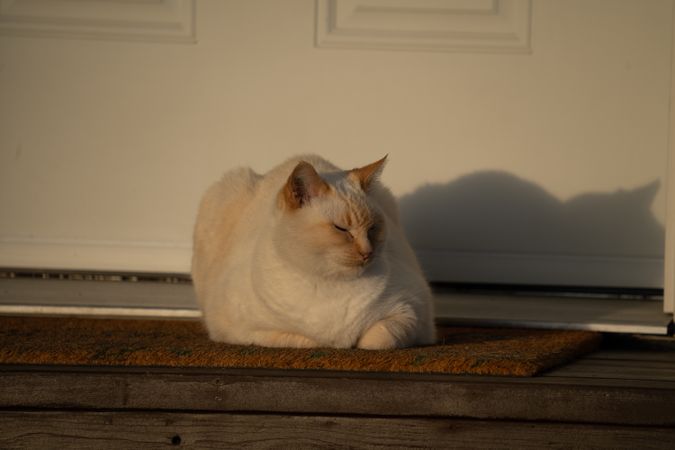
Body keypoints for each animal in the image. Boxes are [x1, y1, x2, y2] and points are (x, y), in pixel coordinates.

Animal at [191, 154, 434, 348]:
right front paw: (332, 343)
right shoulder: (242, 330)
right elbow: (308, 341)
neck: (330, 284)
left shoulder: (411, 312)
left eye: (372, 228)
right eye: (341, 229)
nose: (368, 252)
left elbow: (376, 341)